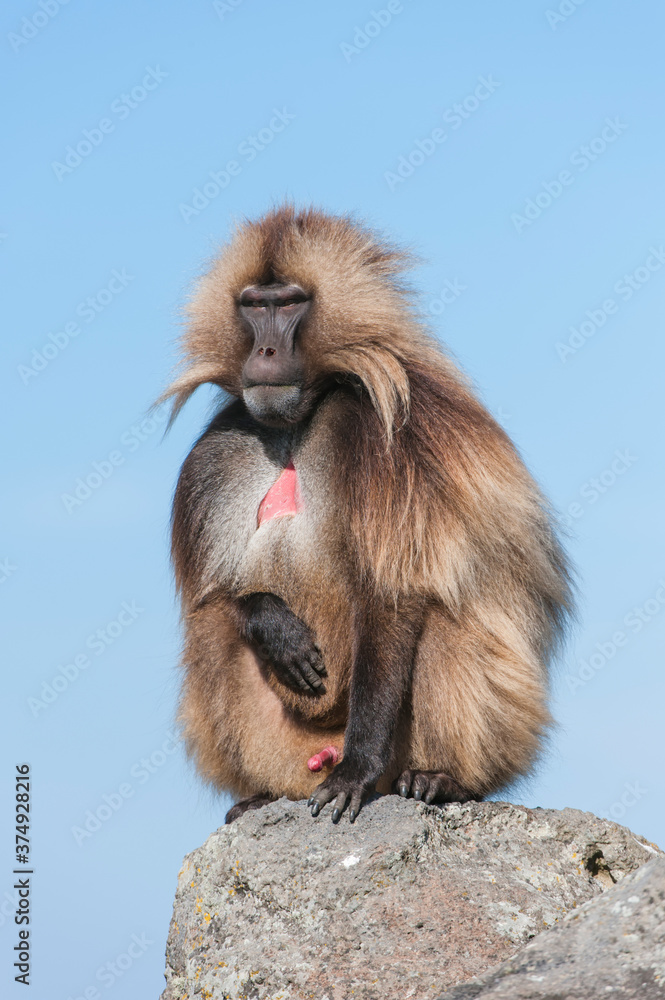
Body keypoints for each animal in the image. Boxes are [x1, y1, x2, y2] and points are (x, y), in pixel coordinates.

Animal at [161, 205, 573, 825]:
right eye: (254, 305)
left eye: (289, 303)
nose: (264, 353)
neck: (298, 422)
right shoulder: (219, 450)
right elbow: (214, 598)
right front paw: (273, 624)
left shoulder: (383, 437)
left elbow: (394, 592)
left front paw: (358, 770)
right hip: (290, 751)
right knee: (212, 628)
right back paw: (260, 796)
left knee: (442, 614)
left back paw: (440, 779)